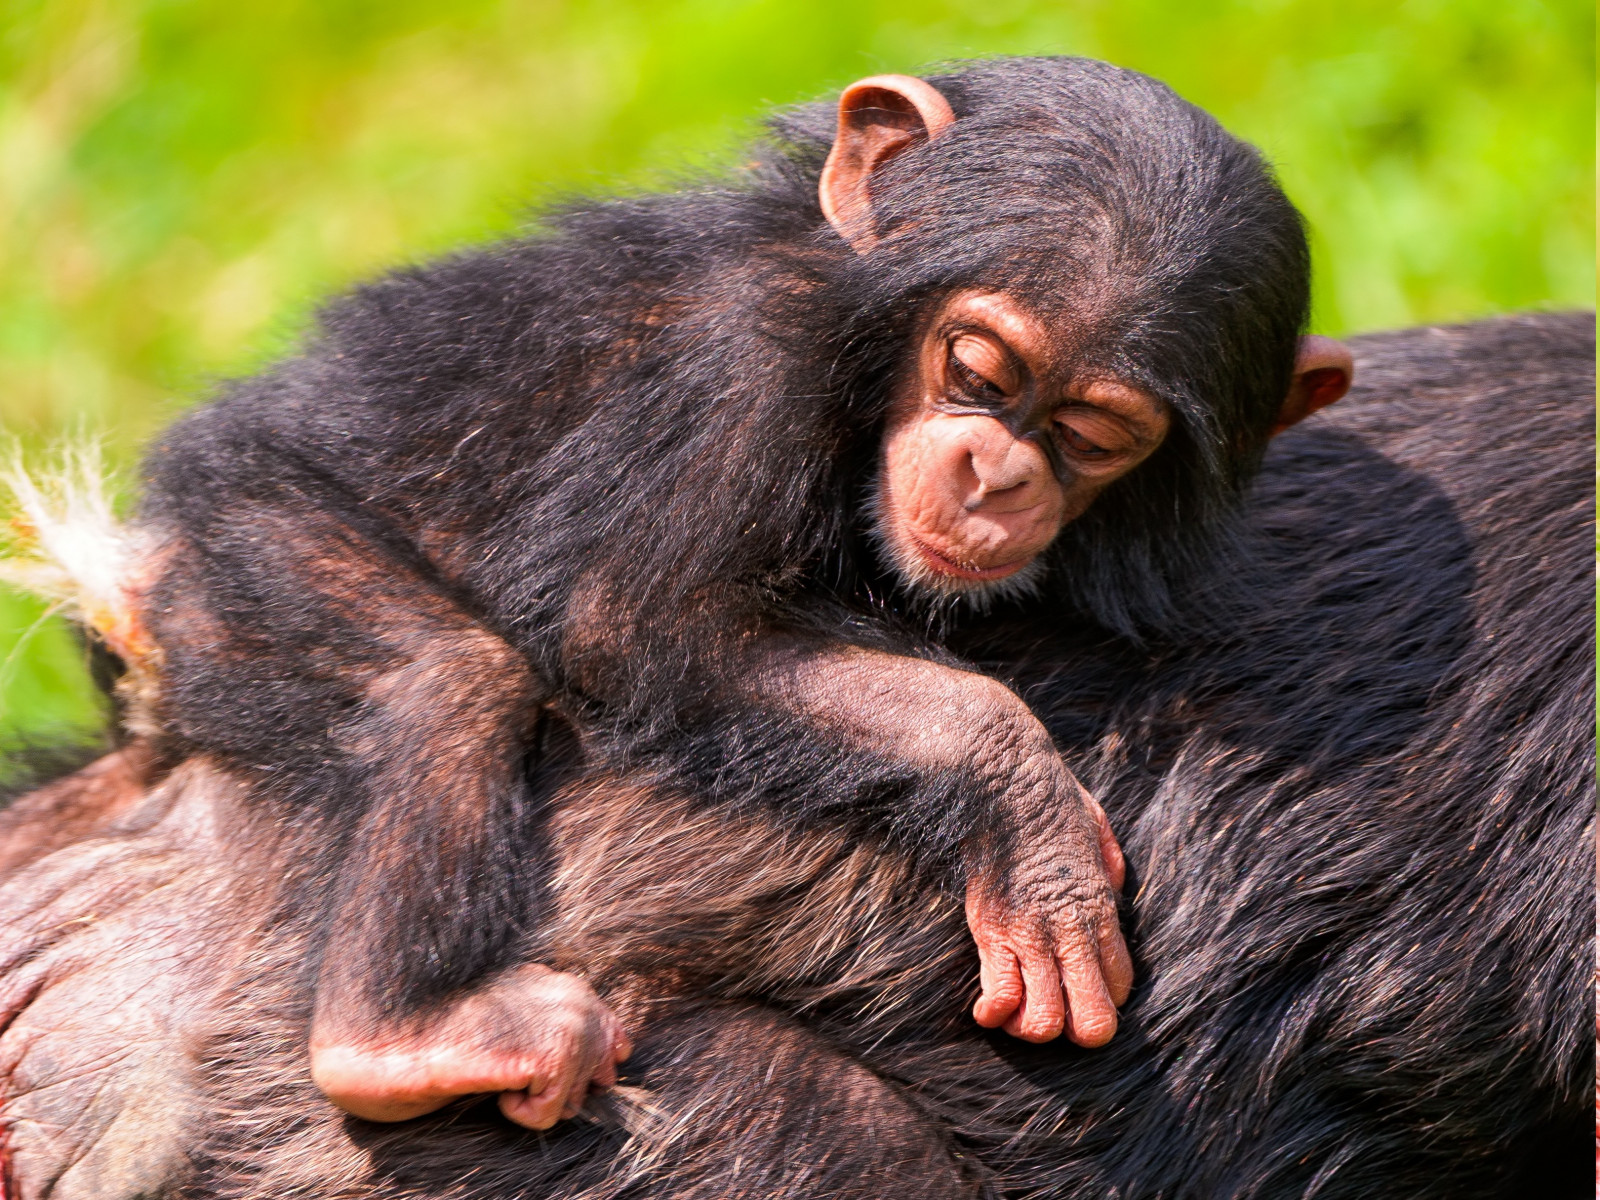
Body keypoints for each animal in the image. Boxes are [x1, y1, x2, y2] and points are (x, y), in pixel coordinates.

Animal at [107, 57, 1353, 1130]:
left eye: (1093, 436)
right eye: (976, 369)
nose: (993, 473)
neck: (861, 344)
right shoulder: (743, 359)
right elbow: (635, 623)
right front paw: (1025, 806)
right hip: (236, 542)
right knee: (444, 681)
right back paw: (401, 1035)